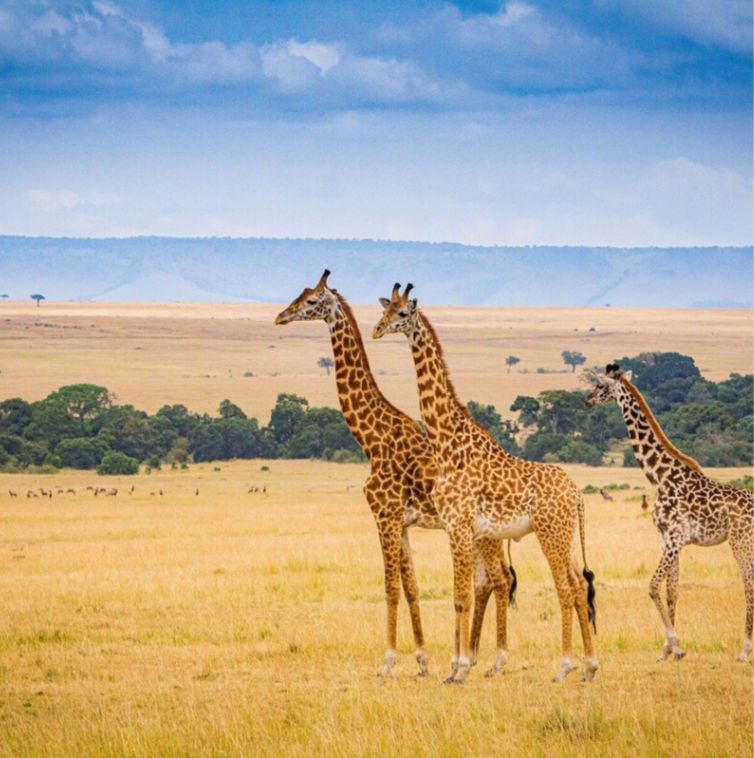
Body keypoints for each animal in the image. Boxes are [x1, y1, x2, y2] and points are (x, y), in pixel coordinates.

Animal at [274, 272, 516, 676]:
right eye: (299, 295)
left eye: (311, 302)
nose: (280, 316)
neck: (371, 440)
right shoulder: (401, 523)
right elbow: (411, 587)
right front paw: (422, 661)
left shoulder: (384, 515)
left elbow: (389, 588)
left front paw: (388, 662)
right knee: (489, 581)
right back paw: (477, 657)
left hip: (484, 534)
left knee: (498, 579)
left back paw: (491, 660)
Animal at [368, 282, 592, 684]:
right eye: (385, 309)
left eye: (402, 313)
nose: (377, 329)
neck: (447, 441)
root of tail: (577, 494)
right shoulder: (464, 529)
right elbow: (467, 592)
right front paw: (460, 666)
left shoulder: (458, 526)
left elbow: (461, 596)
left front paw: (458, 669)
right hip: (565, 536)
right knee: (580, 585)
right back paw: (590, 666)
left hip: (550, 534)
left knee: (565, 588)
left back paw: (565, 667)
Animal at [584, 366, 748, 664]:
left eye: (600, 384)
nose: (587, 399)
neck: (660, 478)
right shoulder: (668, 539)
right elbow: (672, 591)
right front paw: (667, 651)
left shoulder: (674, 538)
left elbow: (652, 586)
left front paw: (676, 646)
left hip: (740, 542)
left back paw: (744, 651)